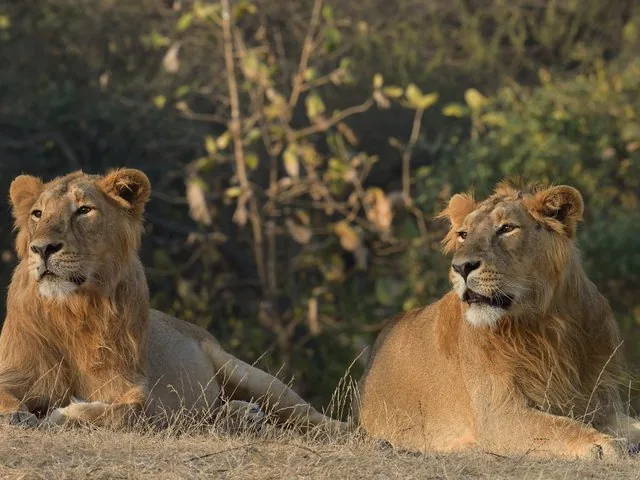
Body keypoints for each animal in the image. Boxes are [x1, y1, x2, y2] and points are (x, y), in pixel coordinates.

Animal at [0, 168, 345, 432]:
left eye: (84, 210)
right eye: (37, 214)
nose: (42, 248)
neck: (72, 311)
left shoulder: (137, 390)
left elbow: (125, 412)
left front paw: (62, 415)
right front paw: (17, 415)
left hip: (248, 374)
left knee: (310, 416)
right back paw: (242, 415)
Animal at [356, 181, 640, 460]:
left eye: (506, 228)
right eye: (463, 234)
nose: (461, 267)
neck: (545, 322)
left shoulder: (600, 402)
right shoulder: (498, 416)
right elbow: (561, 426)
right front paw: (604, 444)